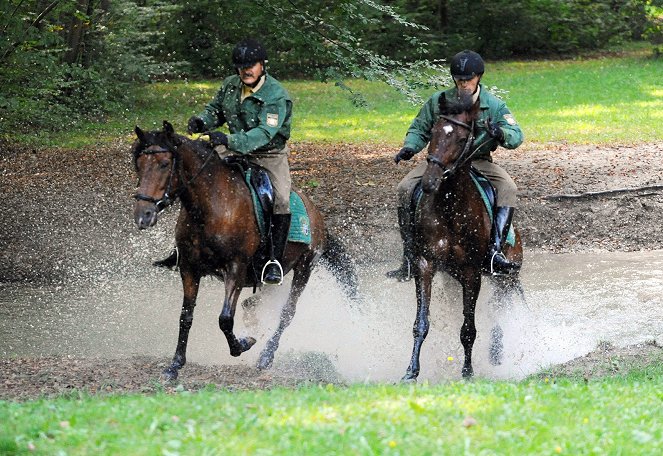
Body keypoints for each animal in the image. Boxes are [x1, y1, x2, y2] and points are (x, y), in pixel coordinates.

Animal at [131, 119, 358, 380]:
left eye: (165, 164)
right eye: (139, 166)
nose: (143, 215)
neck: (212, 207)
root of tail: (317, 215)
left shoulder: (235, 269)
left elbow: (225, 319)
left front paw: (243, 344)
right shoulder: (189, 268)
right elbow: (185, 317)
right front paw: (175, 365)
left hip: (305, 267)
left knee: (287, 312)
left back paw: (266, 356)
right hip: (270, 276)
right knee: (253, 304)